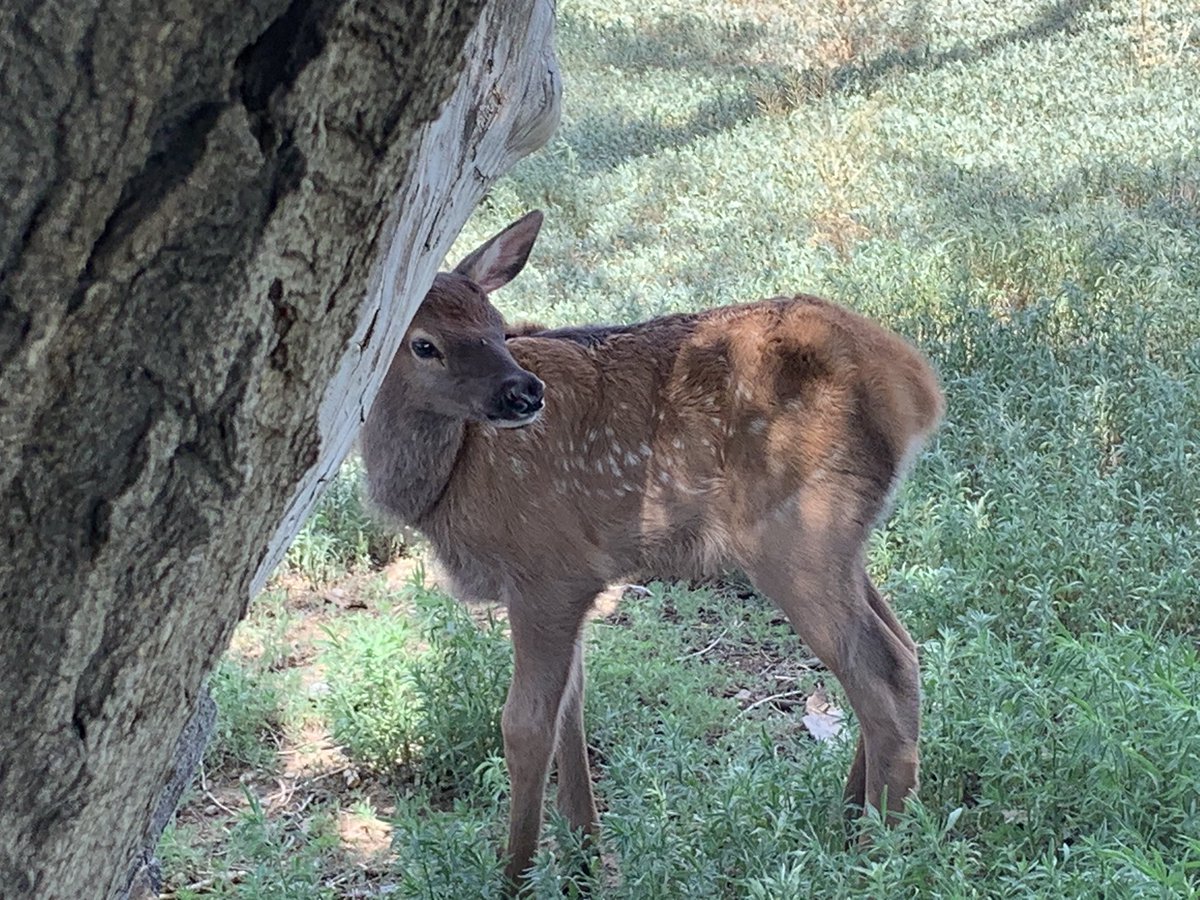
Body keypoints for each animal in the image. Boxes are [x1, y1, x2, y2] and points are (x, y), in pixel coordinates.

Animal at [360, 210, 944, 887]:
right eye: (424, 343)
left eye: (496, 326)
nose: (524, 393)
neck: (446, 484)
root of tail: (915, 387)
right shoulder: (568, 584)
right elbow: (572, 708)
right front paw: (583, 859)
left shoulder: (547, 570)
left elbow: (525, 726)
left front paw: (518, 876)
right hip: (841, 538)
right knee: (902, 646)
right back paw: (848, 821)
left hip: (797, 530)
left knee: (882, 669)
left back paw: (876, 852)